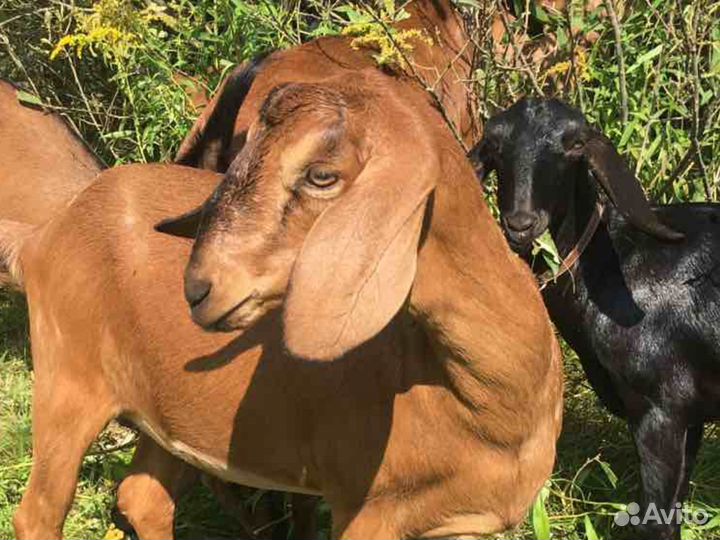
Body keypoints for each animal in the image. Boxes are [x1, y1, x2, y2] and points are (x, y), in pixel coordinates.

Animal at [5, 70, 561, 540]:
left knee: (142, 497)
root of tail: (42, 236)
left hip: (162, 412)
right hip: (67, 380)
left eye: (321, 175)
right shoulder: (365, 509)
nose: (199, 287)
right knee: (38, 514)